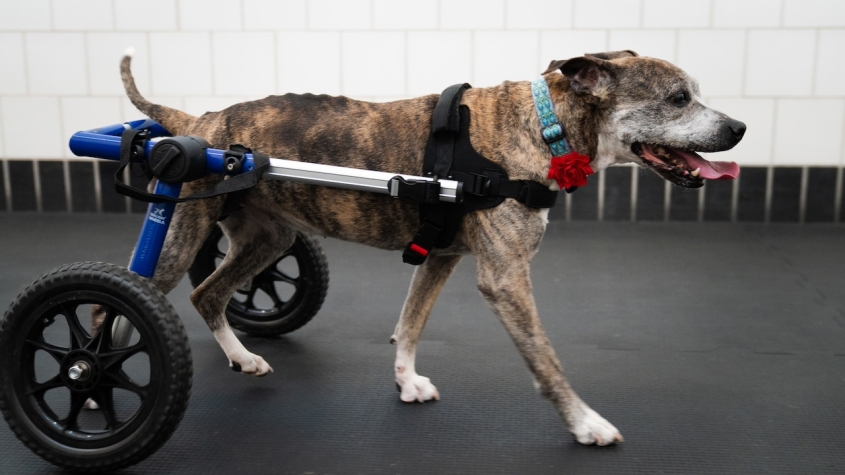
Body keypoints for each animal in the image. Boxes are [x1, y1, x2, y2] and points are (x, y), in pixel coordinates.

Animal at [120, 50, 744, 448]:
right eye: (679, 99)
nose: (738, 128)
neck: (546, 127)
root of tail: (200, 121)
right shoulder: (507, 279)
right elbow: (546, 360)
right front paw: (584, 423)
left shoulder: (441, 258)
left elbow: (411, 323)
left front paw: (406, 381)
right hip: (179, 235)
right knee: (127, 302)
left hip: (269, 237)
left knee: (208, 293)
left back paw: (242, 356)